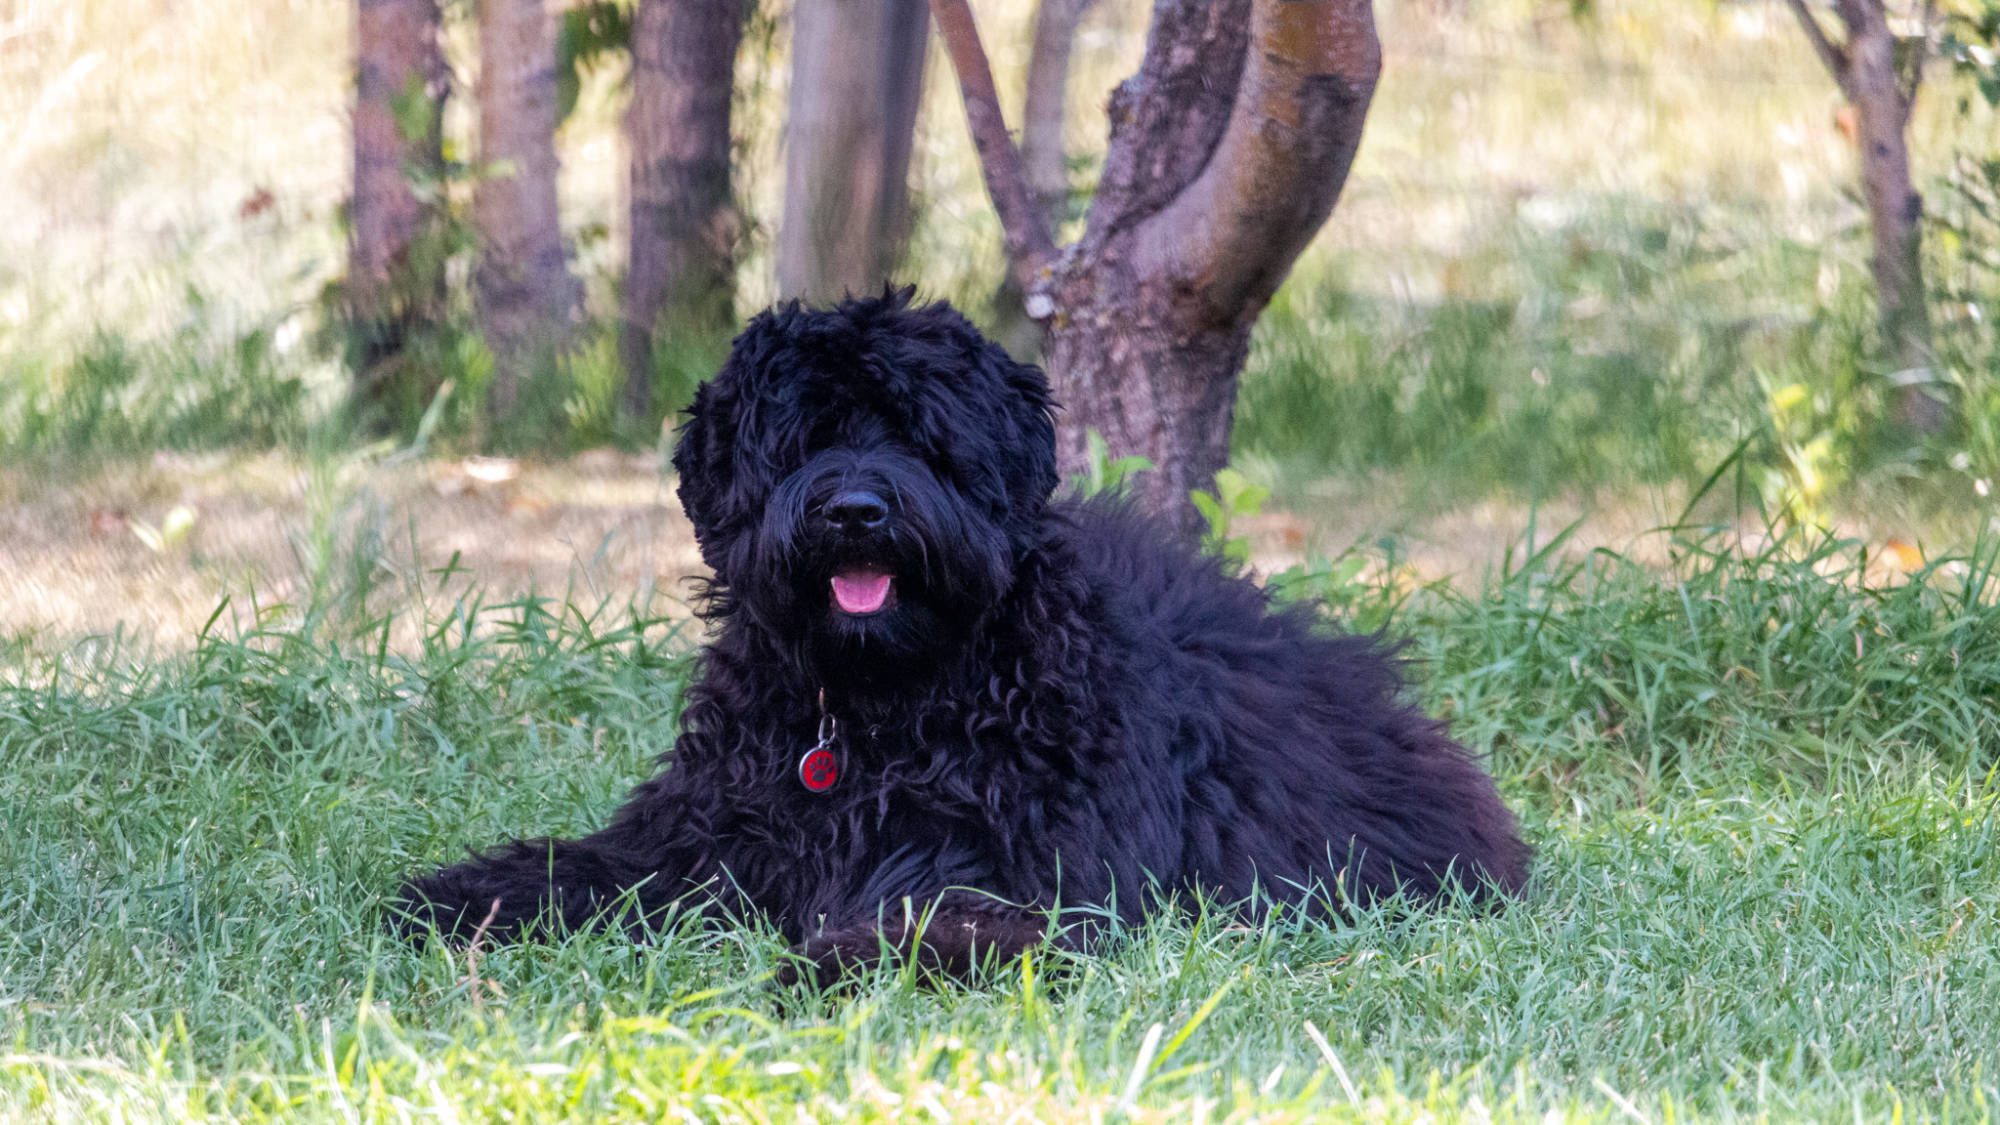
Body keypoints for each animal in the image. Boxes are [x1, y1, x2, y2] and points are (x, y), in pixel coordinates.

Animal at [394, 290, 1528, 980]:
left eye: (919, 434)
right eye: (802, 435)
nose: (855, 510)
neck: (880, 707)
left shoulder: (1019, 877)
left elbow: (928, 920)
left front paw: (827, 963)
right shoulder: (702, 832)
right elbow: (583, 867)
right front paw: (456, 896)